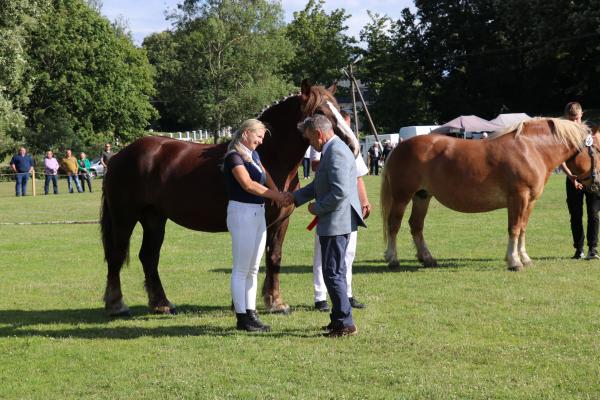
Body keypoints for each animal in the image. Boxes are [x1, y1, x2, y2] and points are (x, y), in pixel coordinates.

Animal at [100, 80, 360, 316]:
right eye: (320, 111)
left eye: (338, 107)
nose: (353, 146)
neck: (269, 156)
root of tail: (119, 155)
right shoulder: (263, 222)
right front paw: (247, 303)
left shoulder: (281, 223)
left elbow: (274, 257)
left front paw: (276, 302)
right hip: (125, 218)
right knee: (116, 256)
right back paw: (117, 305)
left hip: (154, 219)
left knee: (149, 257)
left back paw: (161, 304)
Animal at [381, 118, 600, 271]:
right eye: (597, 149)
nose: (596, 183)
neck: (532, 148)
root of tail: (398, 147)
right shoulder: (518, 197)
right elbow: (514, 228)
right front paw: (514, 261)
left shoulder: (530, 201)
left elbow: (523, 229)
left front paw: (525, 258)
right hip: (402, 197)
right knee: (394, 225)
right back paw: (393, 259)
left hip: (422, 196)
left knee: (416, 226)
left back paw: (427, 258)